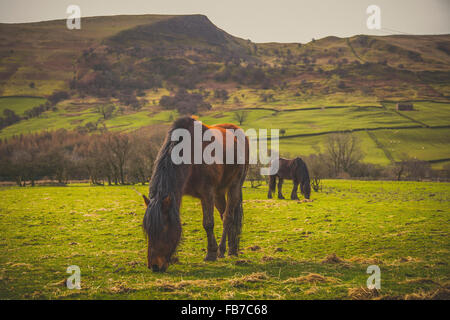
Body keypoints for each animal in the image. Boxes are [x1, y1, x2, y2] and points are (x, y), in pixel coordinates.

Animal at [142, 116, 250, 272]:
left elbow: (208, 224)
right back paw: (232, 248)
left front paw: (211, 253)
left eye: (163, 228)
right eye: (148, 230)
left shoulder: (207, 193)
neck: (190, 153)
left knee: (227, 217)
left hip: (234, 186)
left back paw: (223, 250)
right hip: (219, 193)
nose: (154, 266)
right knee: (225, 214)